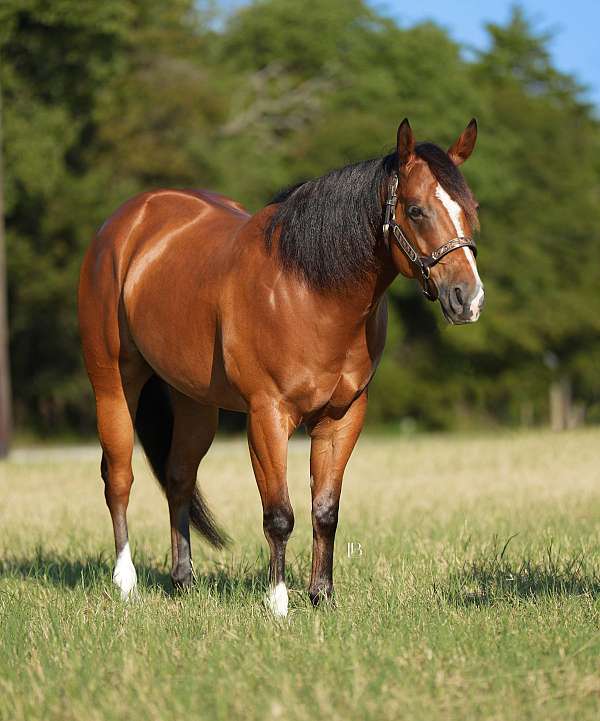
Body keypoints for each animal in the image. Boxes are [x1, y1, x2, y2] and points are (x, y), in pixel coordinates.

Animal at [78, 118, 484, 615]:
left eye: (471, 209)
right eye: (416, 210)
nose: (468, 298)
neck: (309, 288)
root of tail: (126, 223)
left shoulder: (342, 417)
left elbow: (325, 510)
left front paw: (322, 596)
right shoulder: (267, 416)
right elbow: (279, 515)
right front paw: (278, 603)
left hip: (195, 402)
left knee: (179, 477)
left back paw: (183, 580)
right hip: (113, 382)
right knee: (119, 477)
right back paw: (126, 582)